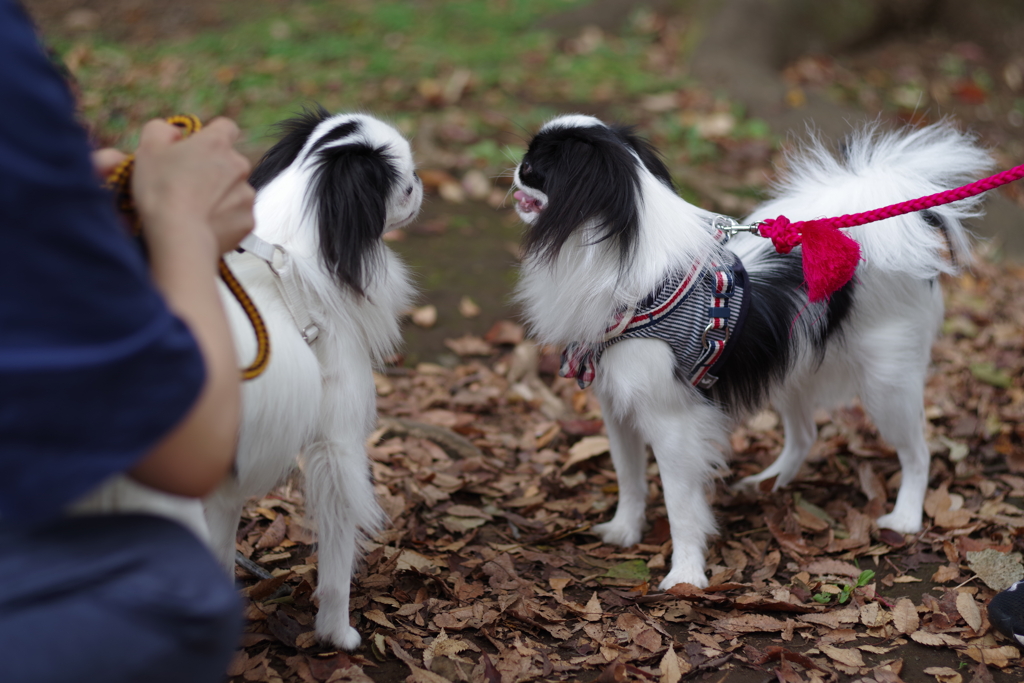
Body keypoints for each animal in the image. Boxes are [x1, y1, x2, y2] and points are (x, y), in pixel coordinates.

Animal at [74, 107, 419, 647]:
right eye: (404, 187)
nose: (421, 185)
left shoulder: (228, 475)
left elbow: (221, 543)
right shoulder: (336, 447)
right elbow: (338, 560)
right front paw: (336, 632)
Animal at [512, 114, 991, 589]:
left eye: (535, 166)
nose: (515, 166)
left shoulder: (672, 424)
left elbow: (680, 505)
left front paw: (685, 575)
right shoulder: (618, 407)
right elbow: (629, 479)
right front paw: (625, 531)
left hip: (886, 385)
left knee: (917, 453)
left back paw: (905, 518)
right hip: (792, 370)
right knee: (805, 435)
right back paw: (769, 483)